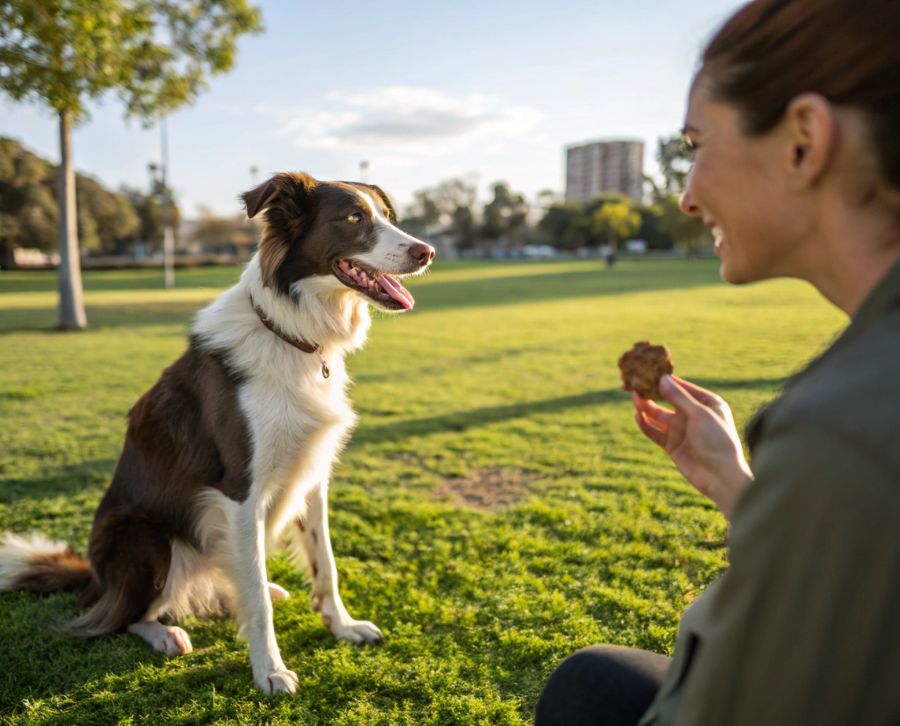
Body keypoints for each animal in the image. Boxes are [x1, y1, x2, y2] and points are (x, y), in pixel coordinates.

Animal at [0, 173, 436, 696]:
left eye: (388, 216)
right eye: (354, 219)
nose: (427, 252)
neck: (290, 335)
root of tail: (96, 578)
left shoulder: (312, 477)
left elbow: (324, 563)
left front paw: (342, 626)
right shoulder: (239, 491)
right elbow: (258, 601)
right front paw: (269, 670)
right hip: (145, 536)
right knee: (120, 617)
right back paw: (163, 632)